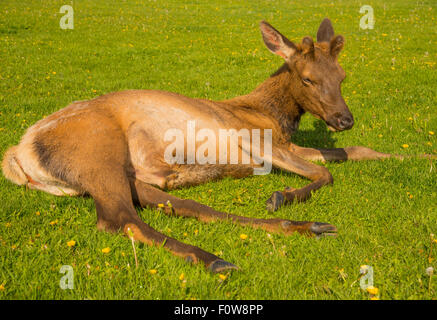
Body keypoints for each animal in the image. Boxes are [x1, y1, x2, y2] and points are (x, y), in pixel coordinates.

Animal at [0, 18, 402, 272]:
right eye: (308, 78)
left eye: (343, 76)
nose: (344, 120)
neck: (275, 116)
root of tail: (19, 152)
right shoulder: (258, 141)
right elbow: (323, 172)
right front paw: (281, 194)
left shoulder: (287, 143)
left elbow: (348, 153)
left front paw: (404, 154)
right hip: (97, 151)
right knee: (120, 219)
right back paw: (214, 258)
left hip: (116, 173)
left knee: (177, 204)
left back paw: (303, 226)